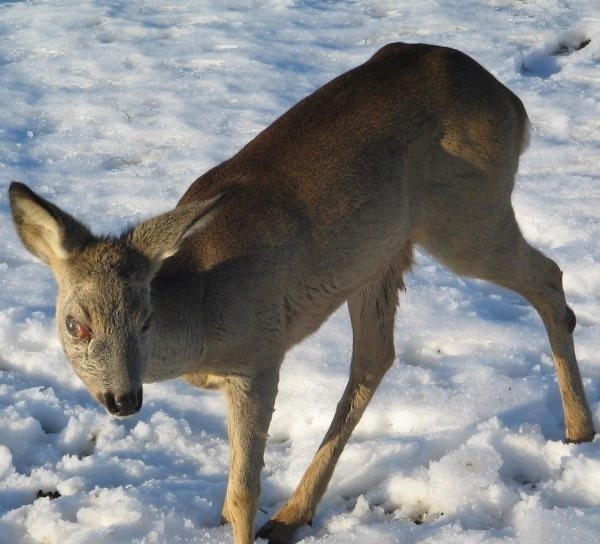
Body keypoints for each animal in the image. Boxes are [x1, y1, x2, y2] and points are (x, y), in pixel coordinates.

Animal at [9, 42, 596, 544]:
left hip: (466, 212)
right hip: (379, 257)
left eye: (145, 318)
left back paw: (578, 431)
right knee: (376, 356)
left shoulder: (258, 355)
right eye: (76, 324)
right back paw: (294, 514)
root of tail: (515, 105)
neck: (200, 308)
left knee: (549, 276)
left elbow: (242, 493)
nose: (124, 400)